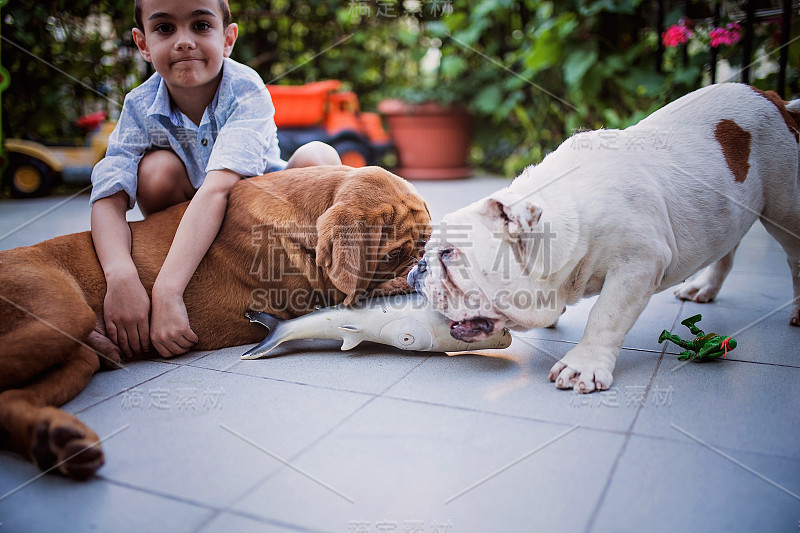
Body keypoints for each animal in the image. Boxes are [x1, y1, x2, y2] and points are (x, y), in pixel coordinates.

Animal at [0, 165, 432, 478]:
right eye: (395, 255)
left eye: (427, 242)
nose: (422, 266)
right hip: (61, 310)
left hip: (77, 353)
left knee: (16, 398)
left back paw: (58, 441)